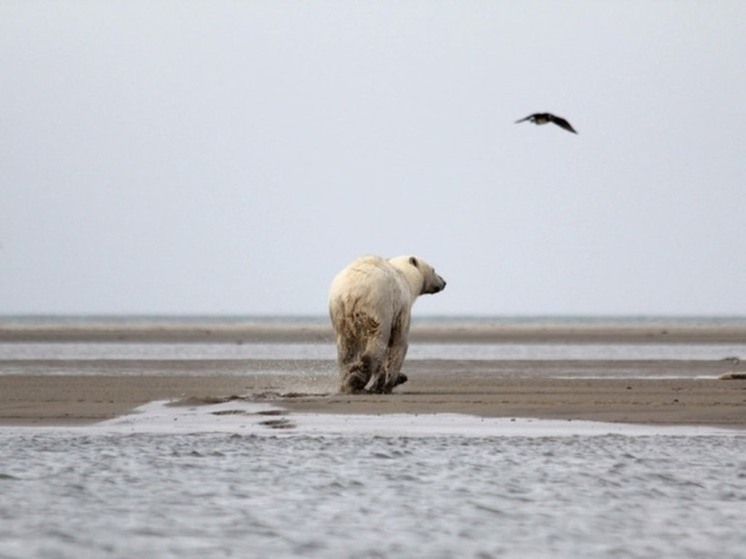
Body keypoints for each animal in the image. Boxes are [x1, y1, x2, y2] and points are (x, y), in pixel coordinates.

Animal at [328, 258, 444, 394]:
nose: (443, 281)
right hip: (377, 306)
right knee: (377, 341)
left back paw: (346, 381)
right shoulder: (402, 307)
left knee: (346, 349)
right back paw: (357, 380)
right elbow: (399, 342)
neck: (405, 276)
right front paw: (388, 384)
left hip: (339, 312)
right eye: (434, 270)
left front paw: (391, 380)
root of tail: (350, 293)